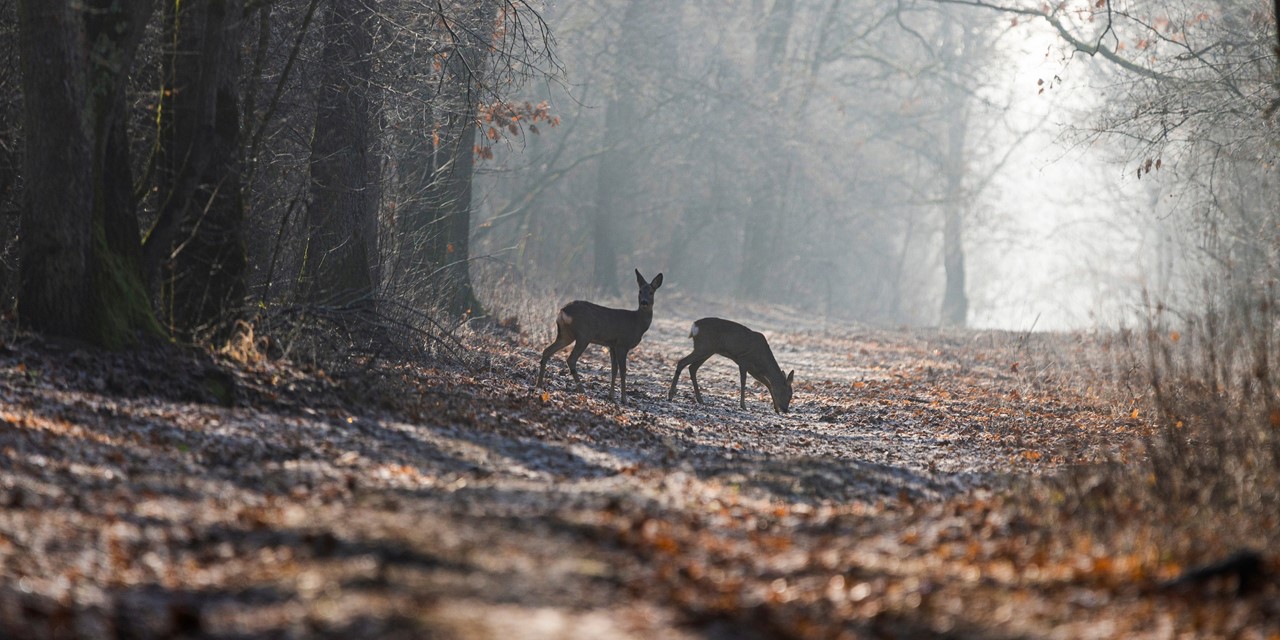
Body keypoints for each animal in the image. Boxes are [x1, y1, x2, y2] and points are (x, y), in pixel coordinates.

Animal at [535, 270, 665, 404]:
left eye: (651, 292)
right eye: (640, 291)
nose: (644, 302)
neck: (637, 323)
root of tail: (563, 311)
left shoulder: (612, 345)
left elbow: (614, 369)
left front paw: (611, 396)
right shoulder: (622, 344)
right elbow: (623, 371)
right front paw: (624, 399)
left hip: (566, 335)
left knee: (547, 350)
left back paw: (539, 384)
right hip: (583, 335)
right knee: (571, 359)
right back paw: (582, 390)